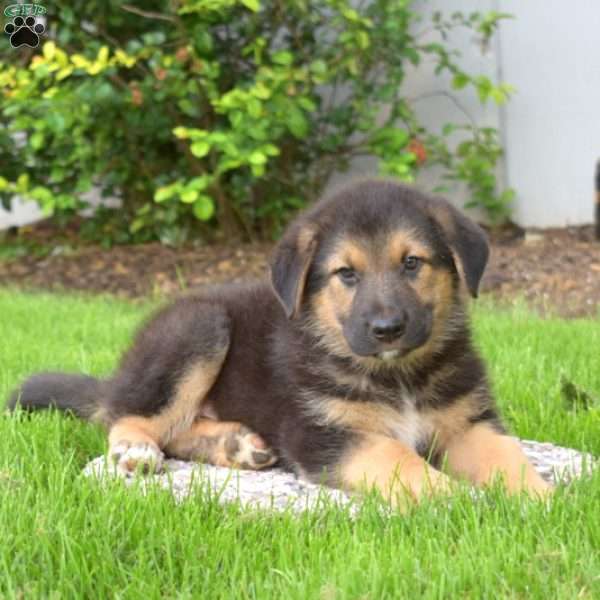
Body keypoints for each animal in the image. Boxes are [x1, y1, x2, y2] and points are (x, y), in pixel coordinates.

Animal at [10, 179, 552, 506]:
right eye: (346, 274)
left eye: (412, 263)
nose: (387, 329)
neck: (397, 374)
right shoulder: (323, 435)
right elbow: (398, 459)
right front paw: (454, 500)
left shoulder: (468, 424)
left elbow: (507, 455)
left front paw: (542, 503)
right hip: (198, 327)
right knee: (132, 417)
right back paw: (140, 451)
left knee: (175, 429)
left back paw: (236, 445)